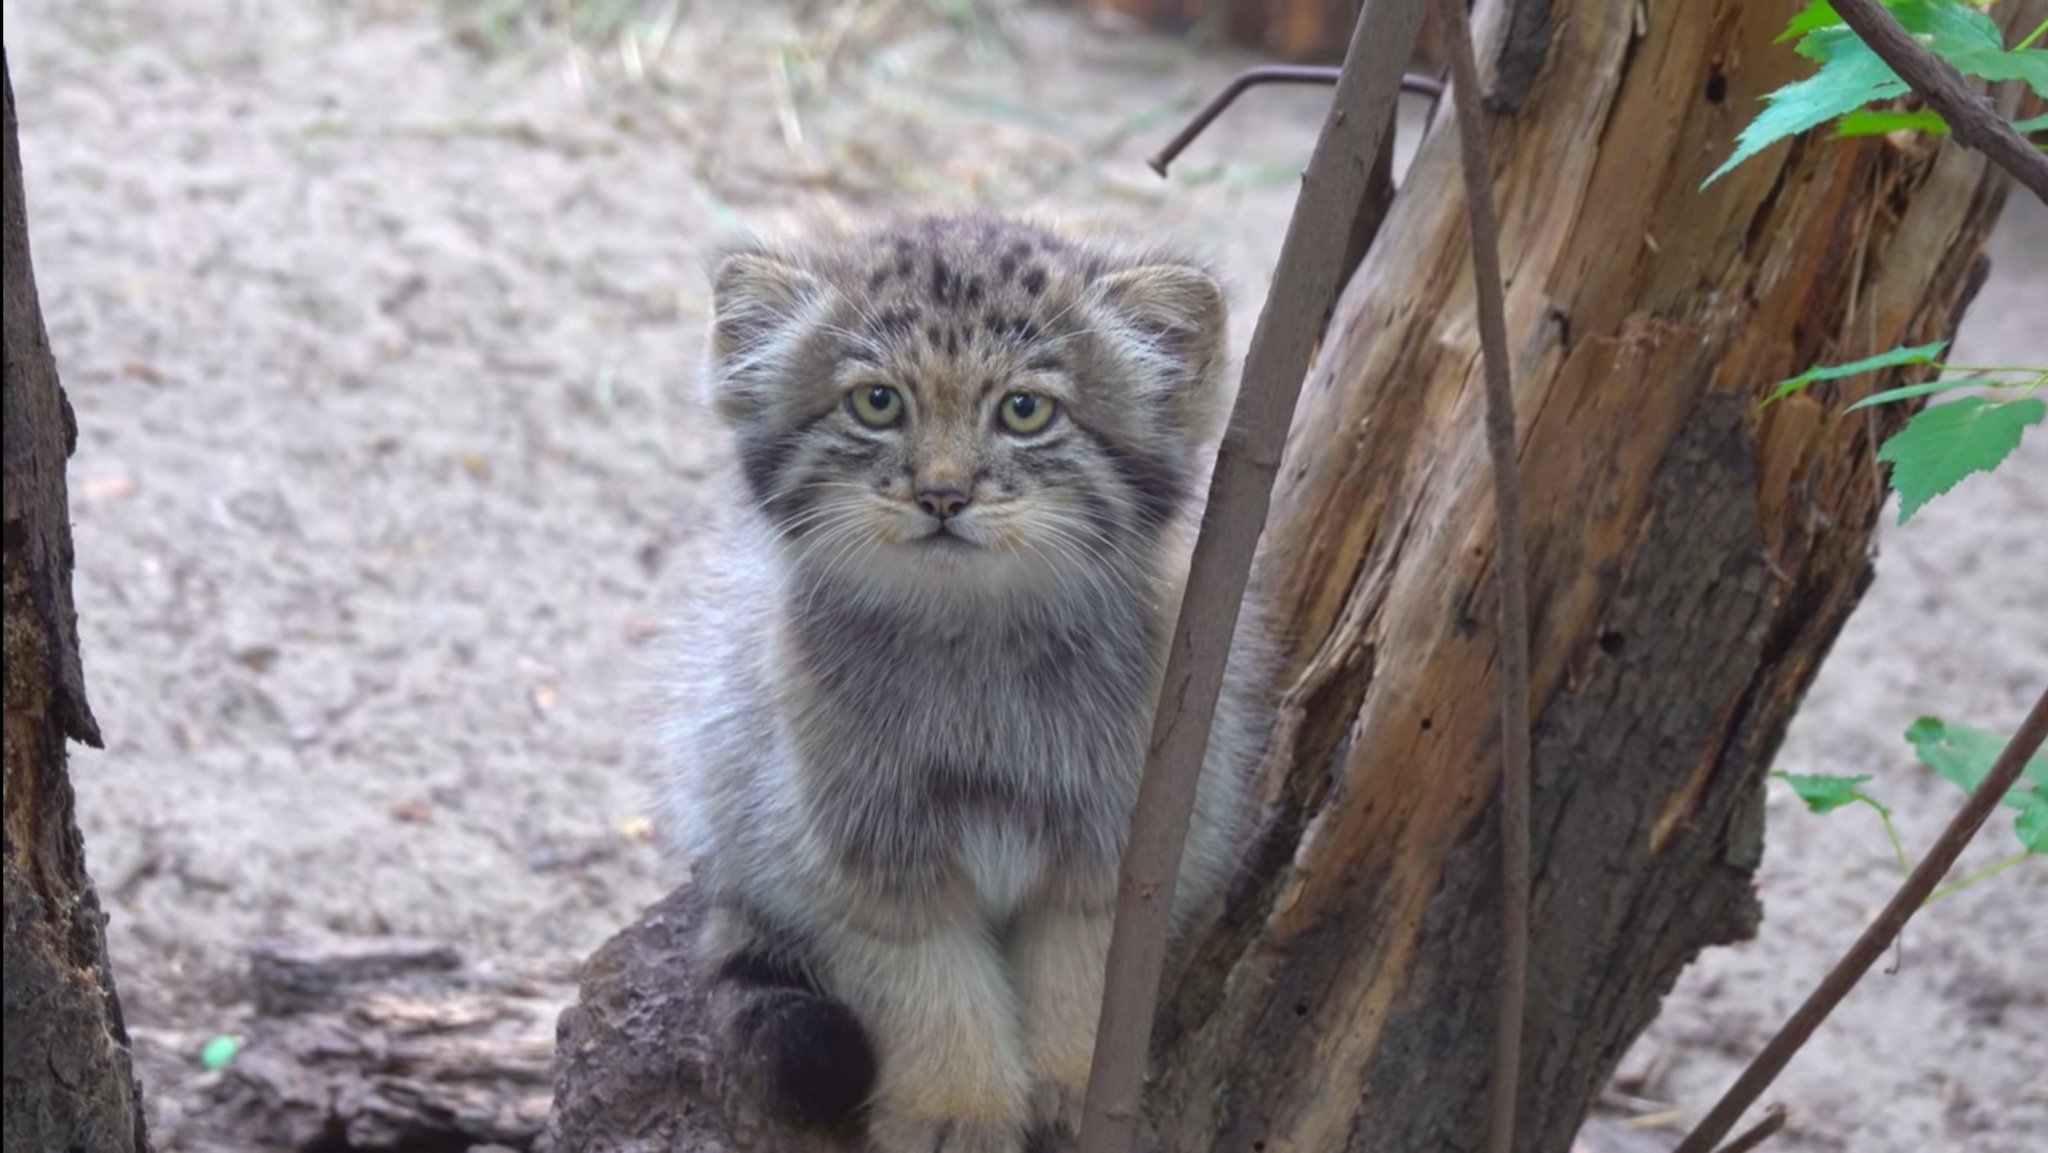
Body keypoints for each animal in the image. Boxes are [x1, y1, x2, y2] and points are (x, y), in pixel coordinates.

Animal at [651, 214, 1261, 1153]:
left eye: (1024, 410)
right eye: (877, 402)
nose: (942, 493)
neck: (976, 646)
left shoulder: (1115, 837)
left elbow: (1082, 976)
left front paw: (1078, 1084)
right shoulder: (870, 851)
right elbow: (932, 988)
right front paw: (954, 1107)